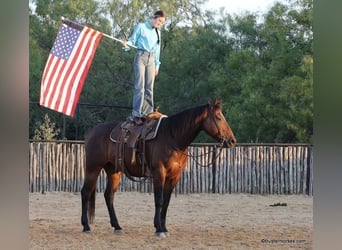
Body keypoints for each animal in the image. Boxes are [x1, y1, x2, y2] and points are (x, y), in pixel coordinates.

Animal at [81, 98, 235, 237]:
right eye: (218, 117)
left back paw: (117, 226)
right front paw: (159, 229)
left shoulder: (174, 176)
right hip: (93, 168)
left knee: (109, 195)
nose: (232, 140)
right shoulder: (159, 173)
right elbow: (159, 200)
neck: (172, 137)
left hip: (114, 171)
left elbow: (166, 202)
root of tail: (92, 132)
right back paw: (86, 226)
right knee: (85, 192)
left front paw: (164, 228)